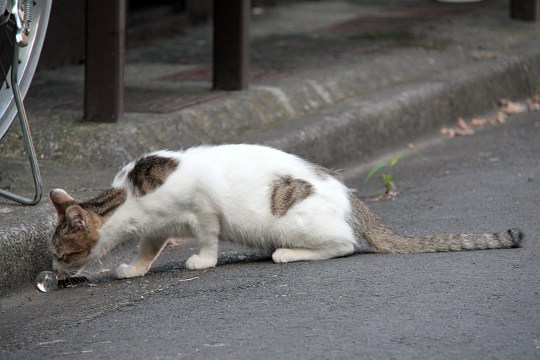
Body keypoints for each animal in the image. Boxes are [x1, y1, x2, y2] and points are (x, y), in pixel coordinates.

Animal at [48, 143, 520, 278]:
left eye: (61, 252)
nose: (53, 270)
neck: (129, 196)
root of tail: (351, 199)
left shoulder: (203, 209)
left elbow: (208, 237)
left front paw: (202, 260)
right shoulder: (157, 227)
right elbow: (148, 248)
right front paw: (134, 269)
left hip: (294, 221)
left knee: (344, 245)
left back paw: (286, 253)